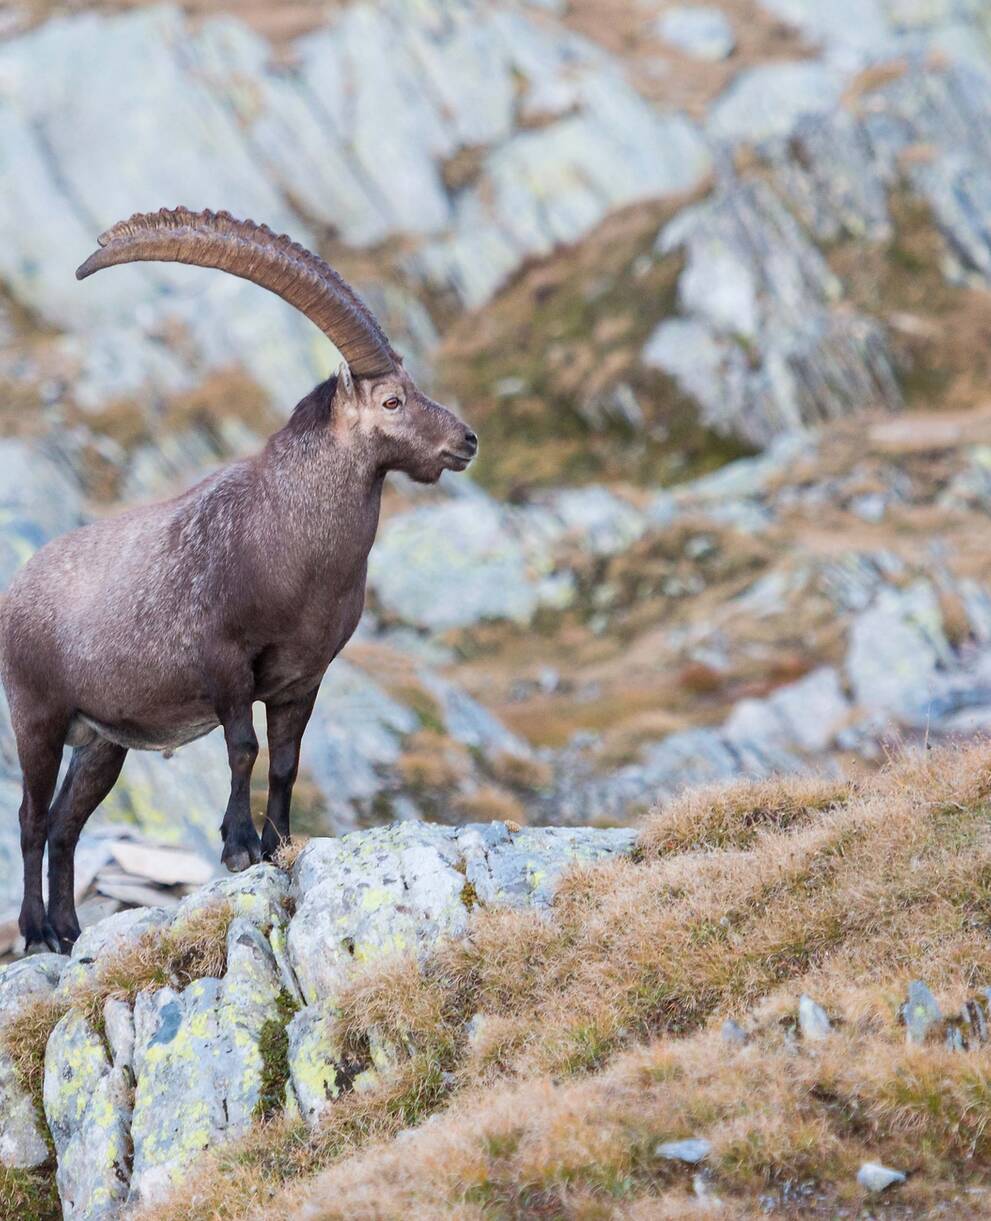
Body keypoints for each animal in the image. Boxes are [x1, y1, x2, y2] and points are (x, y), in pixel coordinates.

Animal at [0, 207, 478, 953]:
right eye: (394, 400)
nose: (466, 441)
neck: (287, 540)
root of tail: (17, 589)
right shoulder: (225, 663)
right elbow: (243, 748)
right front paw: (238, 845)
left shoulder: (300, 678)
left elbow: (285, 761)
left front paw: (281, 843)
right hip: (37, 716)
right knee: (28, 817)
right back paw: (38, 933)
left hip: (103, 742)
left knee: (64, 825)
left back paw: (72, 930)